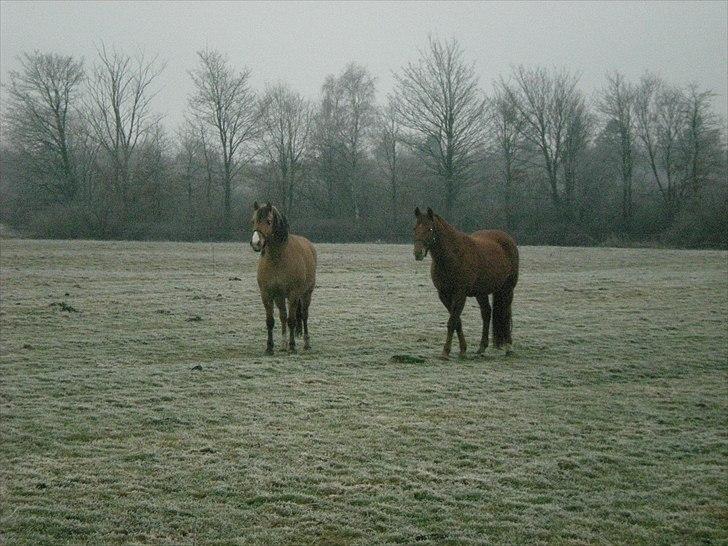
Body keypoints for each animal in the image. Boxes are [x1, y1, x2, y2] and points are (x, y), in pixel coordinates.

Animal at [250, 201, 316, 352]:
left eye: (269, 221)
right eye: (253, 221)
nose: (256, 243)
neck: (277, 259)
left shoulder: (293, 294)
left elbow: (292, 320)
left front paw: (292, 346)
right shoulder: (267, 294)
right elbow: (270, 321)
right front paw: (269, 347)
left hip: (306, 294)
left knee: (304, 316)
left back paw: (306, 343)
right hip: (280, 297)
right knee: (283, 316)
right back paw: (283, 344)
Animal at [412, 206, 520, 360]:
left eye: (430, 229)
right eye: (415, 228)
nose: (418, 253)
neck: (453, 256)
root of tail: (507, 239)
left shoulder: (460, 294)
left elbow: (452, 322)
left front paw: (445, 352)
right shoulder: (444, 295)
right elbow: (457, 321)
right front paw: (463, 350)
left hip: (507, 289)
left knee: (505, 313)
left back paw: (508, 347)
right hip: (481, 292)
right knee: (486, 313)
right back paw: (482, 347)